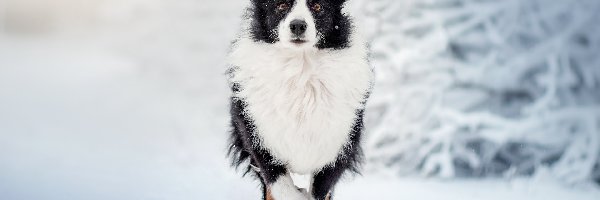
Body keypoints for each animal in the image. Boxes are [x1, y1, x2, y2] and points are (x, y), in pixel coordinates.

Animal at [227, 0, 372, 199]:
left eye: (318, 7)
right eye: (281, 6)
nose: (297, 25)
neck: (300, 68)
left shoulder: (341, 141)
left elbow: (322, 188)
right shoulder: (256, 133)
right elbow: (280, 185)